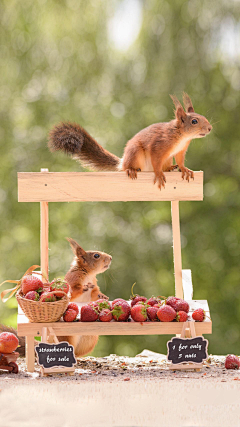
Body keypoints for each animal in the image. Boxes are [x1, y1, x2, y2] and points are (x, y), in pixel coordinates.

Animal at [48, 93, 212, 189]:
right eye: (194, 121)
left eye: (204, 116)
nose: (210, 128)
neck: (182, 136)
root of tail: (122, 162)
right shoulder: (158, 145)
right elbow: (155, 160)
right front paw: (159, 174)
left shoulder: (180, 150)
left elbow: (181, 160)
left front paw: (185, 169)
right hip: (135, 152)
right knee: (131, 166)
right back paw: (131, 169)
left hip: (166, 158)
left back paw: (170, 168)